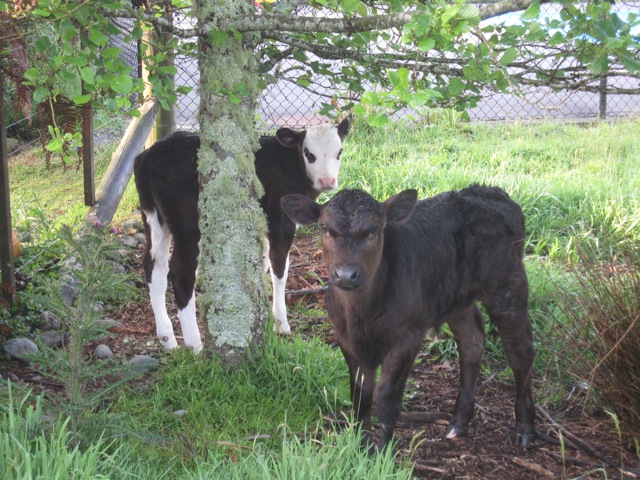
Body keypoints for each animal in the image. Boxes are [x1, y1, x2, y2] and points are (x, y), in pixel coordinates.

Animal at [134, 119, 350, 352]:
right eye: (309, 153)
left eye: (339, 152)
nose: (327, 181)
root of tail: (151, 154)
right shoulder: (280, 223)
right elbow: (280, 269)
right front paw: (281, 324)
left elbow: (264, 263)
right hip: (188, 224)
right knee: (181, 271)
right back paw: (195, 344)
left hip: (153, 218)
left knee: (154, 265)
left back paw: (167, 338)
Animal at [282, 186, 536, 452]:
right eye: (324, 228)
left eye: (374, 229)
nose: (346, 274)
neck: (362, 315)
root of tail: (491, 192)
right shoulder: (346, 338)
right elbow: (360, 395)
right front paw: (362, 448)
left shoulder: (407, 337)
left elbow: (386, 396)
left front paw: (383, 452)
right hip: (455, 298)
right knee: (472, 342)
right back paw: (458, 423)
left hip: (507, 287)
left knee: (521, 354)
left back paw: (525, 429)